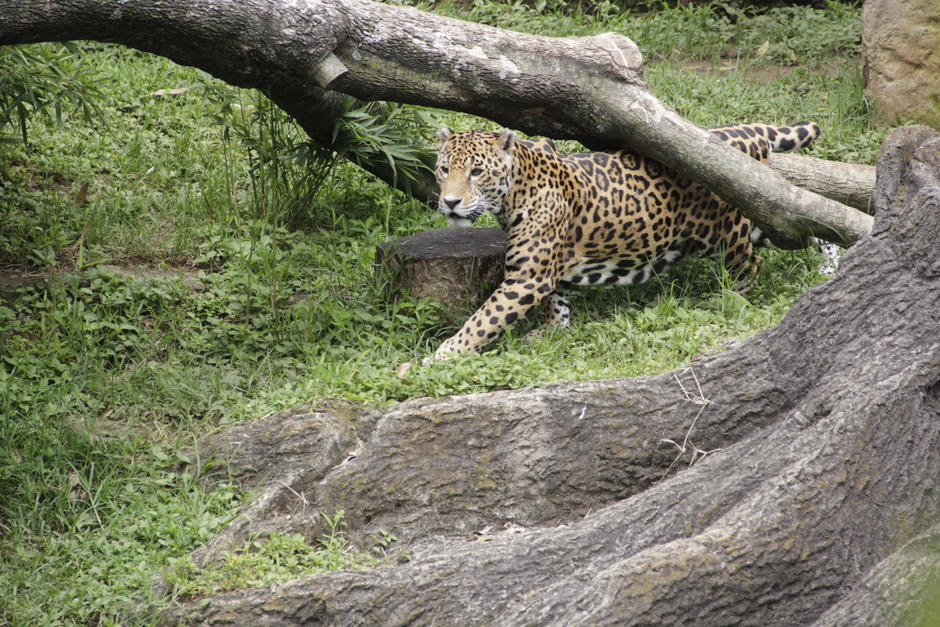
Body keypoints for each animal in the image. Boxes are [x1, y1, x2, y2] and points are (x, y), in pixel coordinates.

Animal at [425, 121, 822, 362]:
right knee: (807, 229)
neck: (516, 191)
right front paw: (555, 330)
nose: (450, 202)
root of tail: (742, 131)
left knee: (753, 262)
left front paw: (438, 358)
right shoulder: (547, 268)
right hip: (758, 224)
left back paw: (733, 297)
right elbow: (558, 299)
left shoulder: (526, 278)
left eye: (476, 171)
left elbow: (481, 322)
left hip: (730, 232)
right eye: (444, 169)